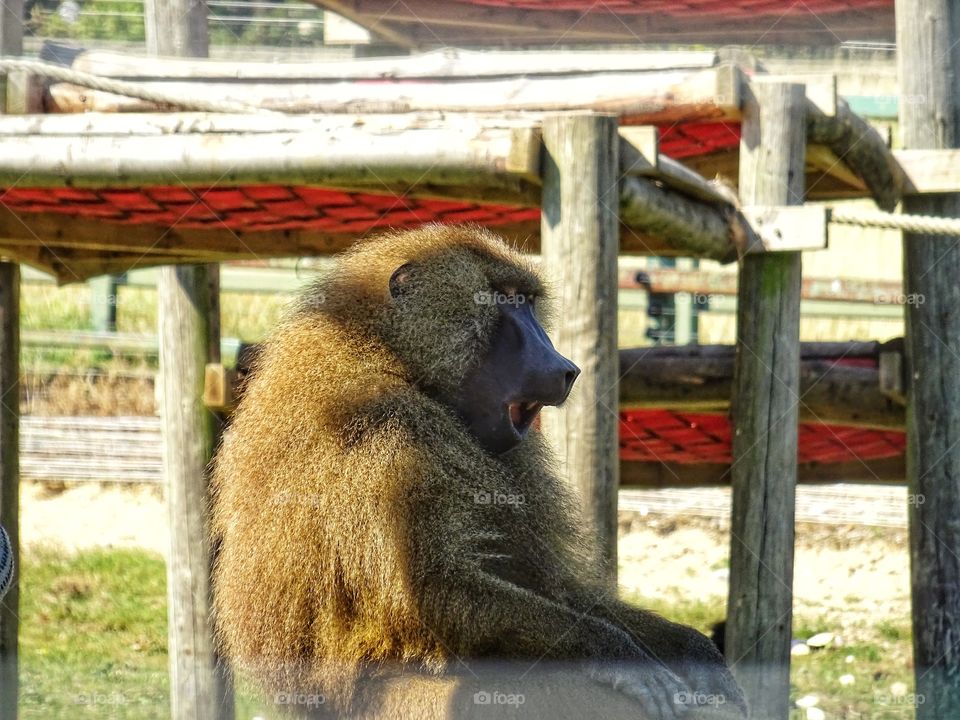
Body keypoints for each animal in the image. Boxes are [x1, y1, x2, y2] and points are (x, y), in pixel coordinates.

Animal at [209, 224, 747, 720]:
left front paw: (695, 652)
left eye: (527, 302)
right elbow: (434, 593)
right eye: (504, 301)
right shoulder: (382, 428)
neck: (392, 355)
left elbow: (552, 585)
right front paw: (616, 655)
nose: (566, 368)